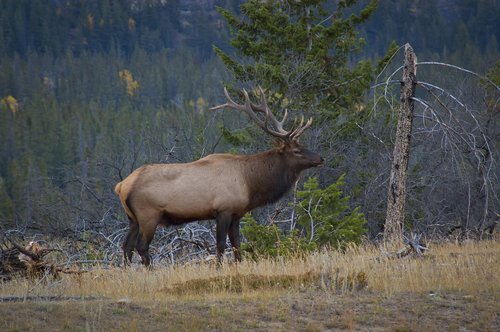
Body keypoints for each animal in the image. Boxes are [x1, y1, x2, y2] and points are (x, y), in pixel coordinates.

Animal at [114, 87, 324, 266]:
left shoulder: (237, 213)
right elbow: (221, 244)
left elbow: (237, 244)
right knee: (141, 246)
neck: (251, 184)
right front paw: (219, 267)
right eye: (297, 151)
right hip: (148, 214)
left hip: (132, 218)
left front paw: (239, 265)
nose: (320, 158)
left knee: (126, 245)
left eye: (303, 145)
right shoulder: (223, 209)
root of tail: (121, 186)